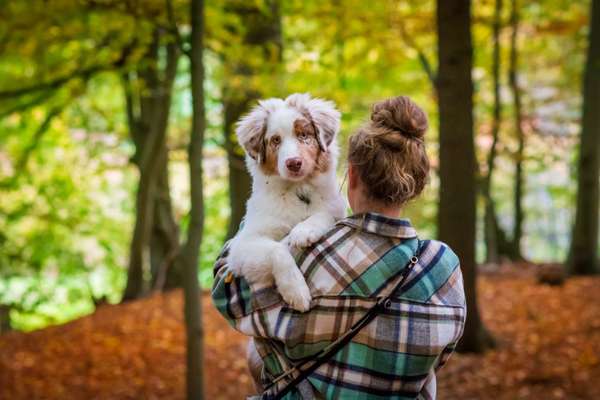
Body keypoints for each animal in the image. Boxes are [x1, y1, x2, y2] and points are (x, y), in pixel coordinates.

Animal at [226, 94, 346, 312]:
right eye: (275, 140)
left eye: (303, 135)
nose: (293, 163)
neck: (297, 189)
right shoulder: (241, 246)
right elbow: (277, 249)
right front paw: (296, 292)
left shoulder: (337, 207)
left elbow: (324, 213)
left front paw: (304, 230)